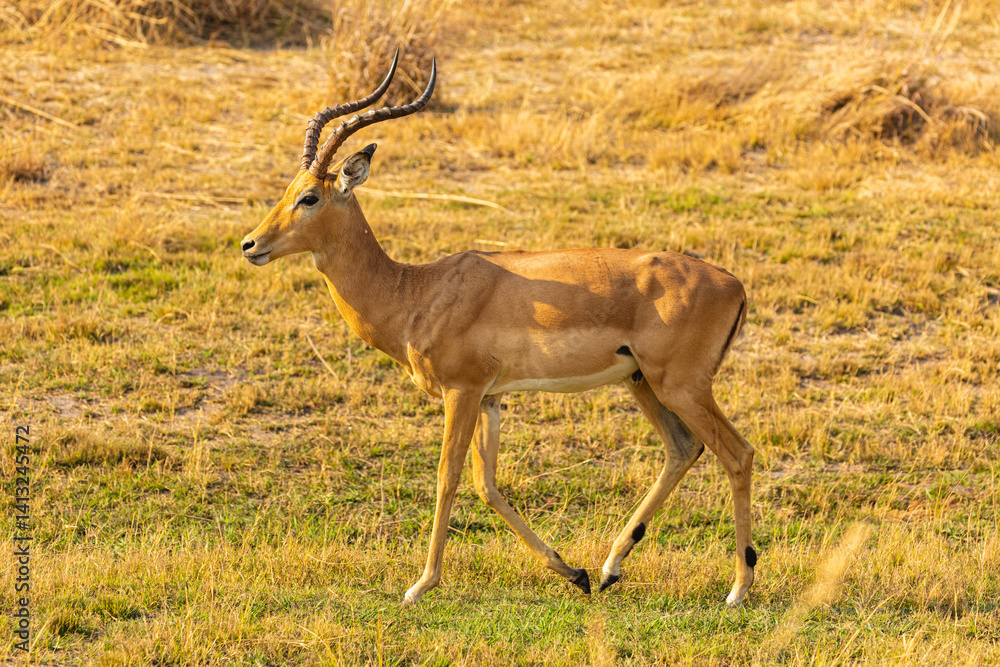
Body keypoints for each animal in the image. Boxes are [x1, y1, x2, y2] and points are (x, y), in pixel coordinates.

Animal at [240, 52, 757, 606]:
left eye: (310, 198)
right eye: (287, 191)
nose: (251, 245)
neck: (415, 293)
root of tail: (734, 284)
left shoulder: (462, 391)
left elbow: (446, 477)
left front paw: (420, 585)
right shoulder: (491, 397)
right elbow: (486, 484)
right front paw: (570, 572)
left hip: (681, 386)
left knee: (737, 454)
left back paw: (737, 589)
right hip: (642, 383)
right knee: (683, 449)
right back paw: (608, 569)